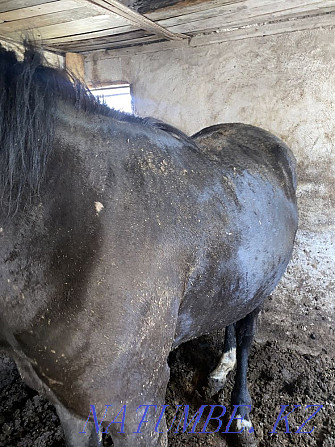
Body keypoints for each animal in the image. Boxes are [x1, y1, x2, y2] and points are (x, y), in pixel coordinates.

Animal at [0, 43, 300, 446]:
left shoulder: (136, 408)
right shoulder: (71, 407)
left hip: (265, 284)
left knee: (247, 333)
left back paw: (240, 414)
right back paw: (220, 370)